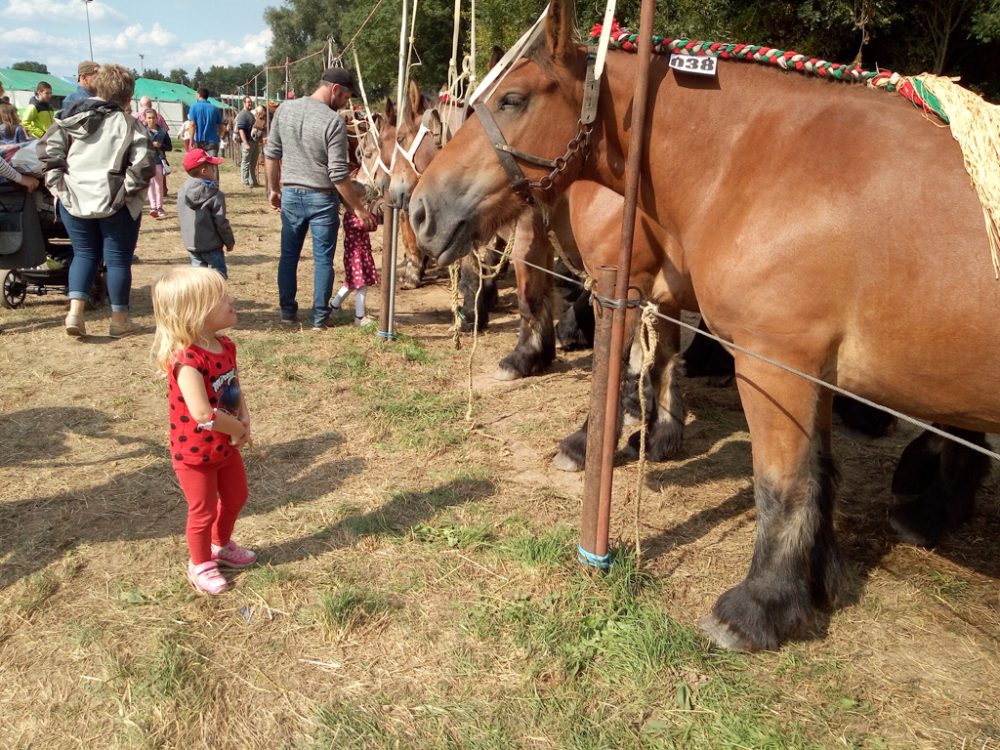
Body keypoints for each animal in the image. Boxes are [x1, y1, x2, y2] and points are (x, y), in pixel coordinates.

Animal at [406, 0, 1000, 652]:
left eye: (512, 99)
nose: (417, 209)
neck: (762, 162)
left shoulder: (762, 357)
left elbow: (779, 480)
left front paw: (761, 604)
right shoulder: (794, 360)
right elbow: (810, 466)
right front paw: (814, 581)